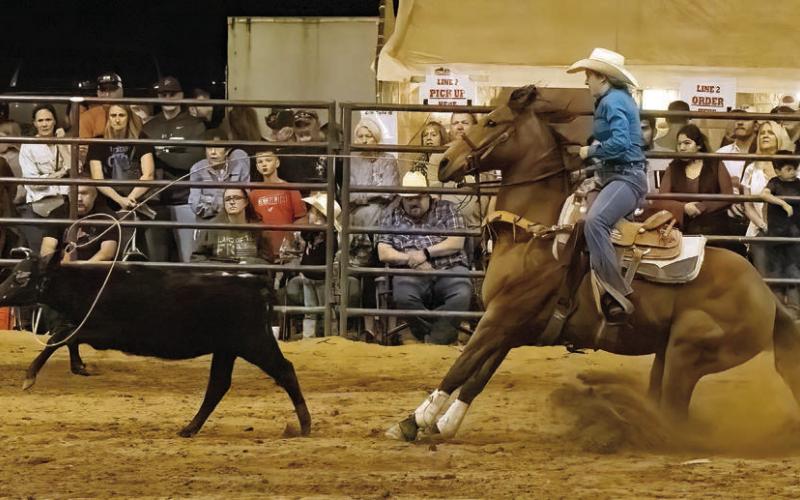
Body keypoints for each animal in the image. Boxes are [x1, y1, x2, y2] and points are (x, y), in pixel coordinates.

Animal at [0, 251, 311, 437]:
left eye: (22, 277)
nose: (0, 294)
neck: (89, 285)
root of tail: (256, 284)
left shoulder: (105, 332)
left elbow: (60, 336)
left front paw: (30, 377)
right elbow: (64, 335)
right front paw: (78, 366)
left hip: (254, 342)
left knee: (285, 371)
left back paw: (305, 424)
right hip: (227, 349)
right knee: (218, 385)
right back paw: (190, 428)